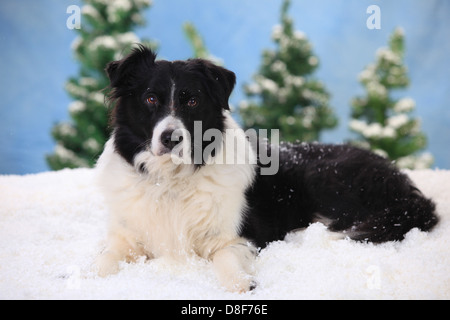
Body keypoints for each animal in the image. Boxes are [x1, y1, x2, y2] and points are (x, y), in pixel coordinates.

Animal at [96, 45, 440, 292]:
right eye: (150, 98)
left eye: (191, 101)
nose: (171, 138)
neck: (171, 180)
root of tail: (403, 183)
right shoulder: (126, 237)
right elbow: (105, 260)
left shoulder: (239, 236)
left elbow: (227, 260)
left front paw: (241, 285)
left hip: (325, 177)